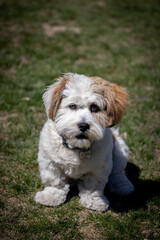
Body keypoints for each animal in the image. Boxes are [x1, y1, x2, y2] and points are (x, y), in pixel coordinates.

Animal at [34, 73, 134, 212]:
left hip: (120, 149)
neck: (76, 147)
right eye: (72, 106)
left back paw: (122, 186)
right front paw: (50, 197)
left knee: (118, 172)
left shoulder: (99, 167)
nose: (83, 125)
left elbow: (93, 187)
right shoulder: (49, 161)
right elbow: (55, 181)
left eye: (94, 108)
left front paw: (94, 202)